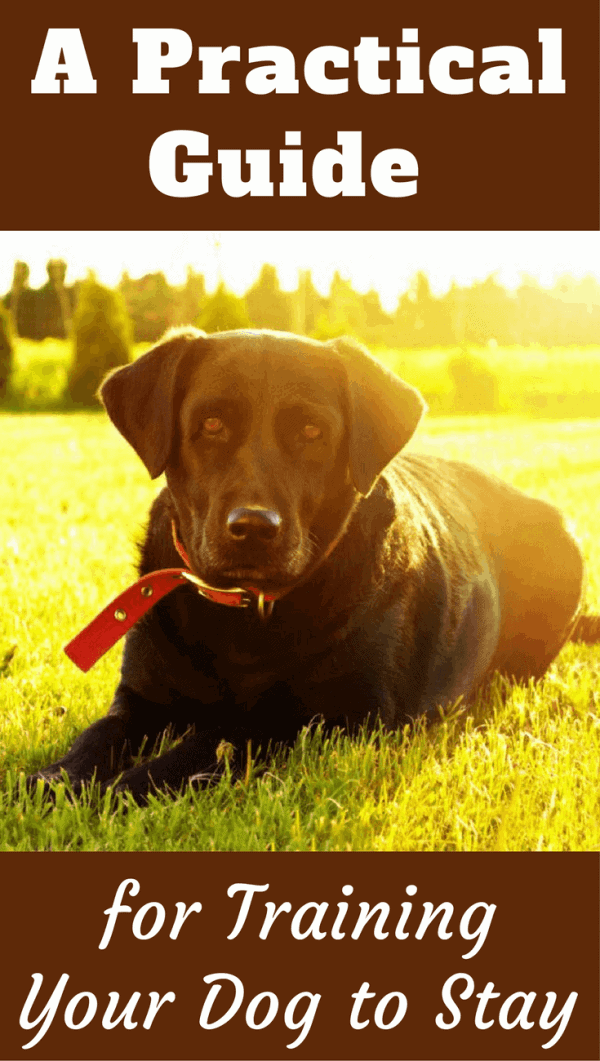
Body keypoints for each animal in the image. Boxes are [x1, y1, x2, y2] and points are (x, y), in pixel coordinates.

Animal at [28, 326, 593, 797]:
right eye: (211, 424)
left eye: (312, 431)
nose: (253, 528)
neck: (245, 616)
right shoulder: (142, 698)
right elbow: (96, 737)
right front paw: (53, 781)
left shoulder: (331, 716)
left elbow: (217, 738)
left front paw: (124, 787)